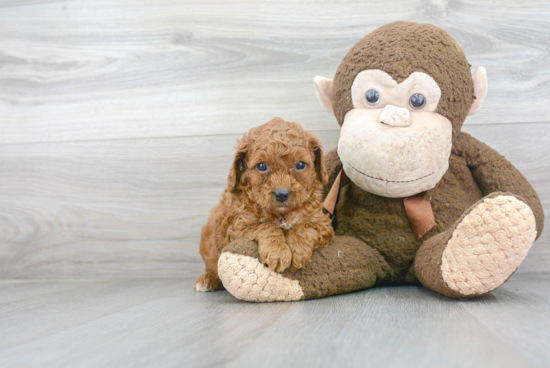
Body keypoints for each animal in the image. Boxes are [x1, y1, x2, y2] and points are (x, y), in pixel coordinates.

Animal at [198, 117, 336, 290]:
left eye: (300, 165)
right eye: (262, 166)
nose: (282, 194)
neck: (282, 215)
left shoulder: (322, 223)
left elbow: (304, 227)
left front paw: (298, 250)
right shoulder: (237, 227)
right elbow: (265, 226)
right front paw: (277, 252)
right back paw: (207, 280)